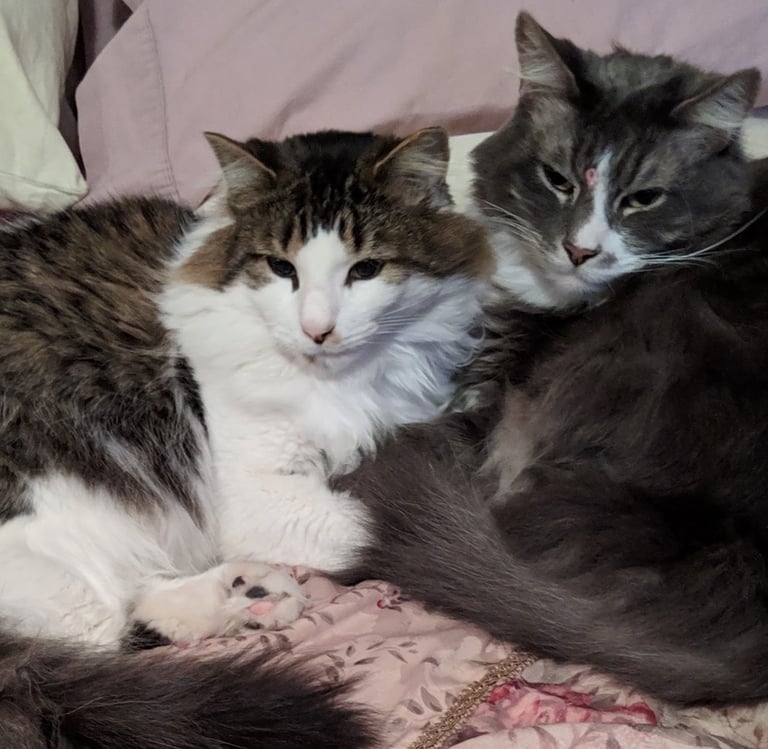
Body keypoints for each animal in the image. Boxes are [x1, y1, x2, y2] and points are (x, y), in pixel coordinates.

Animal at [0, 126, 491, 747]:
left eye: (366, 270)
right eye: (282, 268)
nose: (317, 330)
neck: (344, 381)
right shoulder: (254, 490)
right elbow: (372, 524)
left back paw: (250, 594)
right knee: (95, 633)